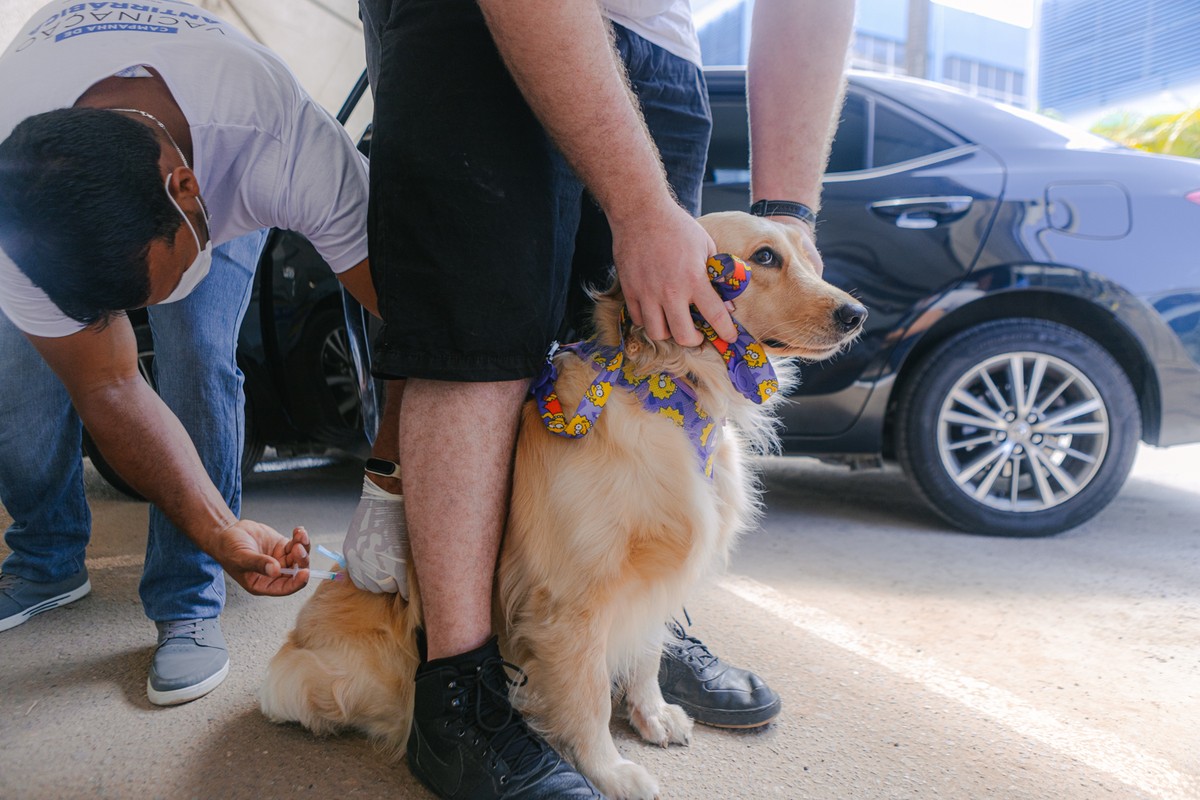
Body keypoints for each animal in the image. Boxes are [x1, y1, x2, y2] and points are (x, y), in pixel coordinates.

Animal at [260, 209, 864, 796]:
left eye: (810, 258)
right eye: (764, 257)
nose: (856, 314)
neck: (665, 395)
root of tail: (294, 644)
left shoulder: (653, 579)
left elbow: (647, 652)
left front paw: (652, 714)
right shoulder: (571, 600)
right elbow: (590, 694)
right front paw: (608, 770)